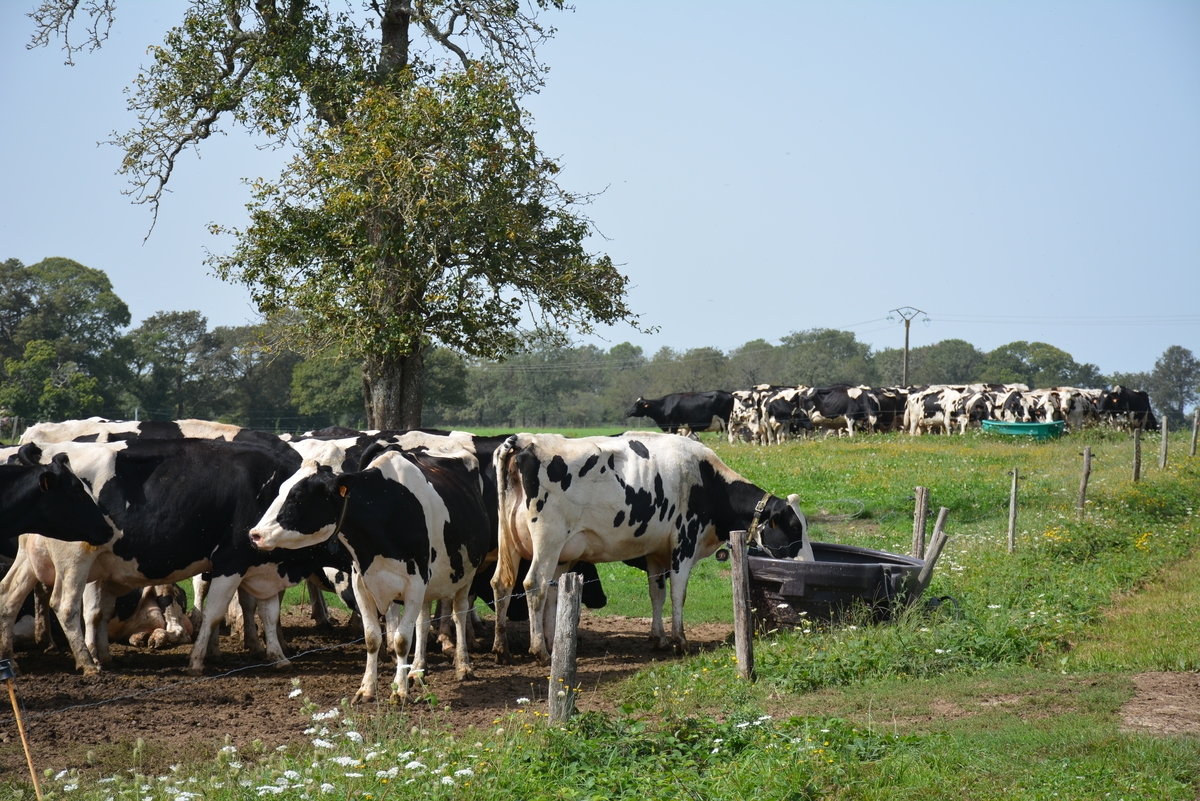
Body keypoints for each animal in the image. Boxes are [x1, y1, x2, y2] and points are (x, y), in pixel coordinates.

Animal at [246, 443, 489, 700]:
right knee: (423, 622)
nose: (255, 534)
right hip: (429, 586)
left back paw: (463, 666)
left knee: (459, 614)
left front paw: (399, 691)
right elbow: (372, 638)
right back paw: (416, 670)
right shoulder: (361, 583)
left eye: (297, 496)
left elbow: (402, 639)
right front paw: (367, 689)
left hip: (465, 576)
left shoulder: (415, 583)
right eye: (281, 490)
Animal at [489, 431, 816, 661]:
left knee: (505, 584)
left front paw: (658, 638)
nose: (810, 564)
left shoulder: (656, 553)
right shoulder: (684, 545)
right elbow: (678, 594)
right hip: (549, 540)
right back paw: (540, 651)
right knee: (534, 585)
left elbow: (656, 593)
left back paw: (504, 648)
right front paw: (679, 641)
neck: (707, 480)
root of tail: (524, 441)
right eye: (794, 527)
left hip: (525, 545)